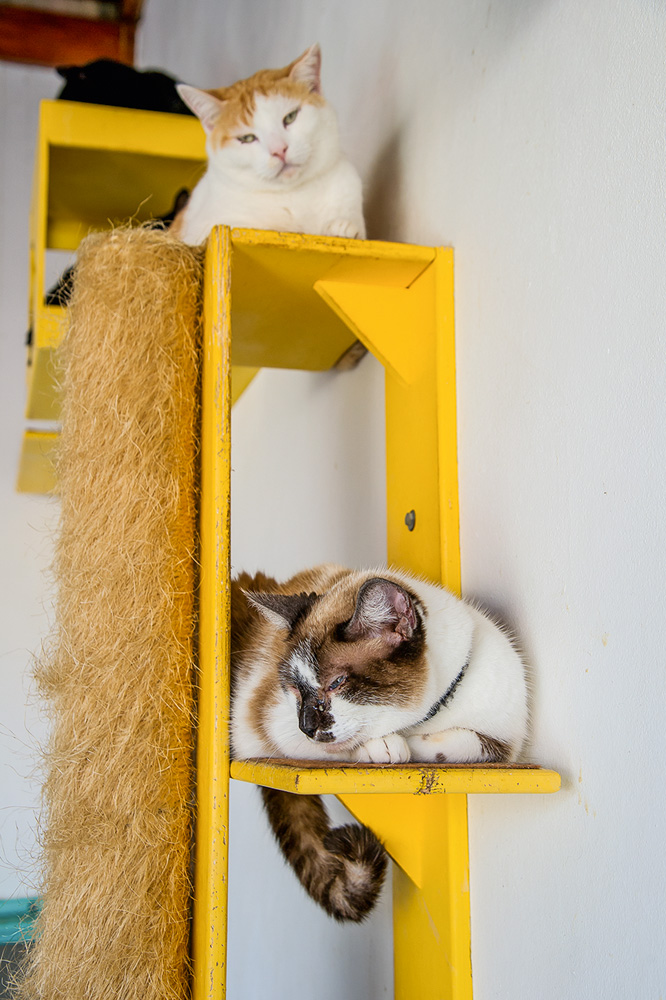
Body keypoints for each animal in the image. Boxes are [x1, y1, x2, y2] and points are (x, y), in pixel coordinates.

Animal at [170, 42, 364, 246]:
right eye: (247, 138)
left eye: (290, 117)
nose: (279, 150)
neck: (293, 196)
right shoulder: (208, 228)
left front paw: (341, 228)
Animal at [231, 564, 528, 920]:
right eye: (294, 690)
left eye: (336, 683)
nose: (306, 727)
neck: (429, 716)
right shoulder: (271, 727)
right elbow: (350, 744)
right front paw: (389, 746)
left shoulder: (503, 744)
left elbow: (461, 743)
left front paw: (412, 745)